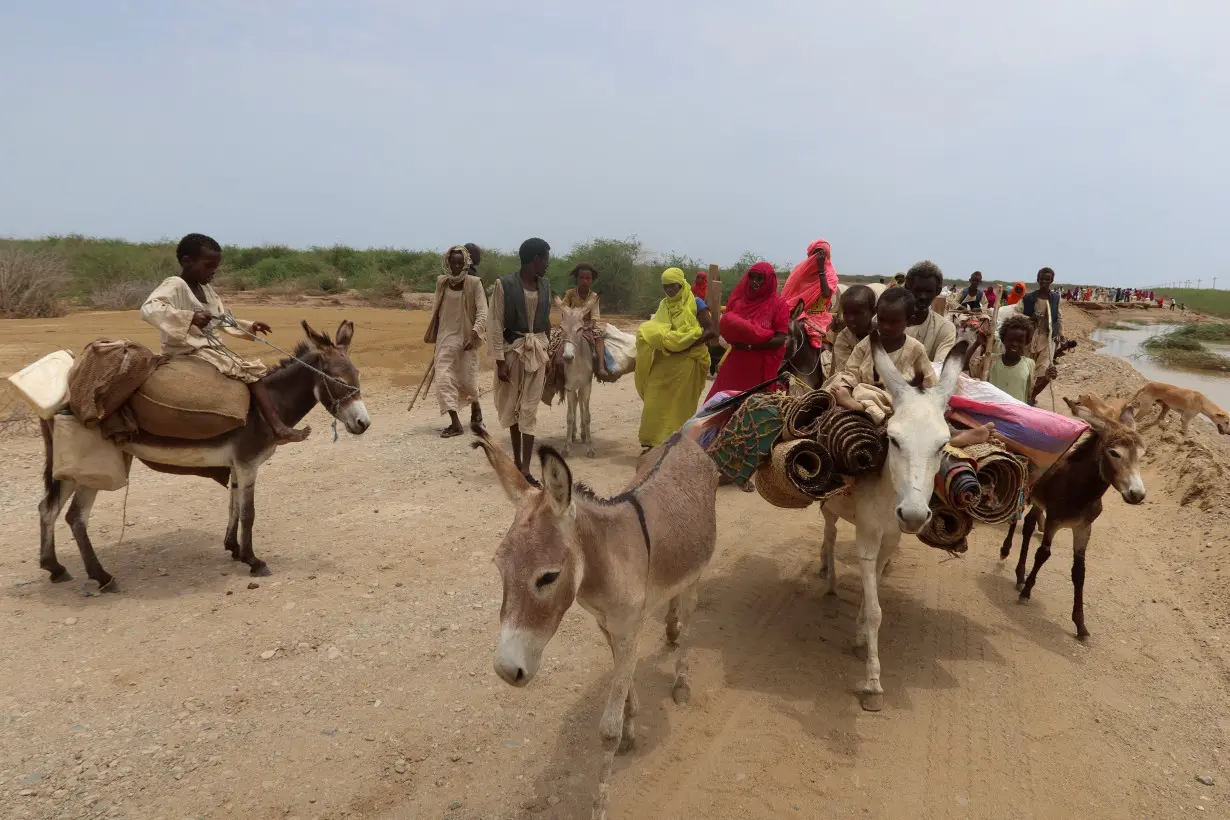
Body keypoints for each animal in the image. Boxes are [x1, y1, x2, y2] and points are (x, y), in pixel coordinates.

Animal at [472, 432, 718, 752]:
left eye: (549, 577)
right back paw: (671, 630)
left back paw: (681, 682)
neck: (605, 561)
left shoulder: (630, 630)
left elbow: (609, 726)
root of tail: (682, 437)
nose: (505, 670)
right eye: (499, 568)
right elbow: (624, 685)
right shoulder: (606, 624)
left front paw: (620, 736)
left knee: (689, 623)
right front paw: (630, 724)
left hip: (695, 575)